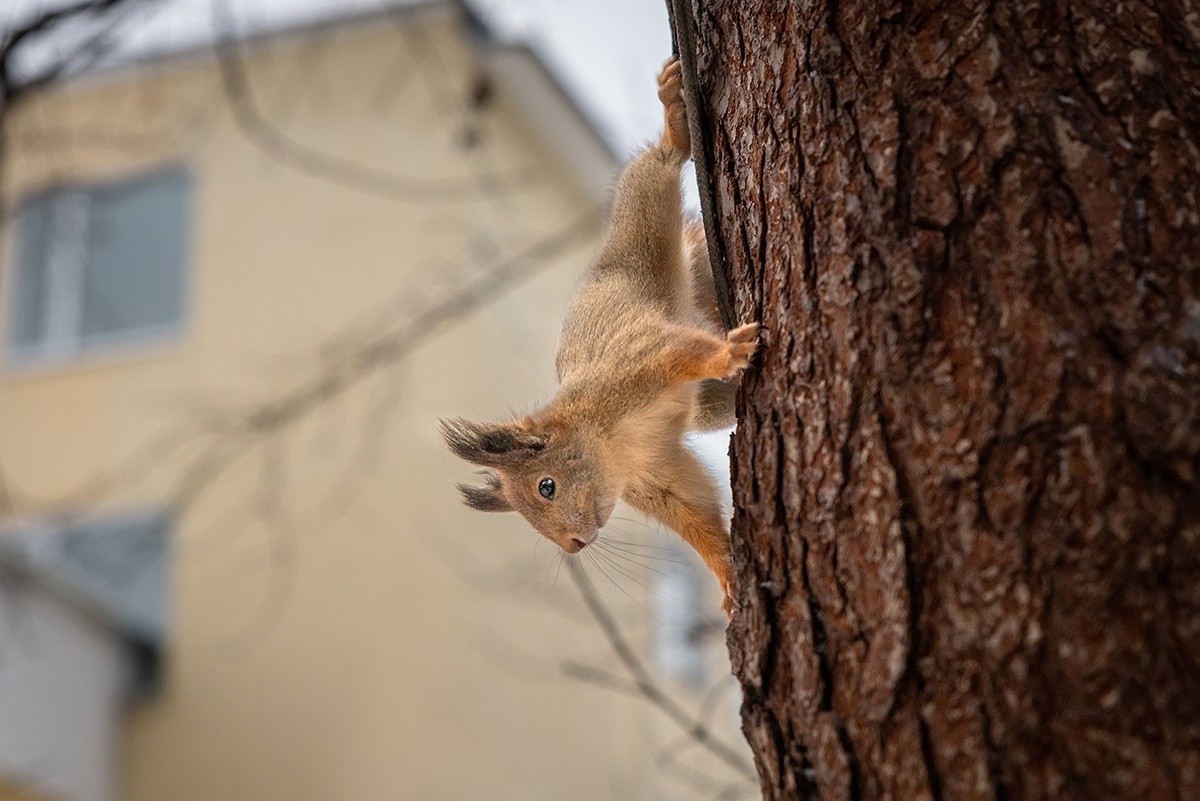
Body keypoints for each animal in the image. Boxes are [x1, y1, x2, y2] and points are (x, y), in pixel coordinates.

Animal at [441, 59, 758, 618]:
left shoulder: (633, 369)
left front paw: (728, 352)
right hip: (711, 406)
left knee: (655, 169)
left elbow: (679, 353)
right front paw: (727, 574)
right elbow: (695, 513)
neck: (611, 443)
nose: (572, 544)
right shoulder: (652, 476)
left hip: (641, 231)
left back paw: (673, 122)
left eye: (546, 487)